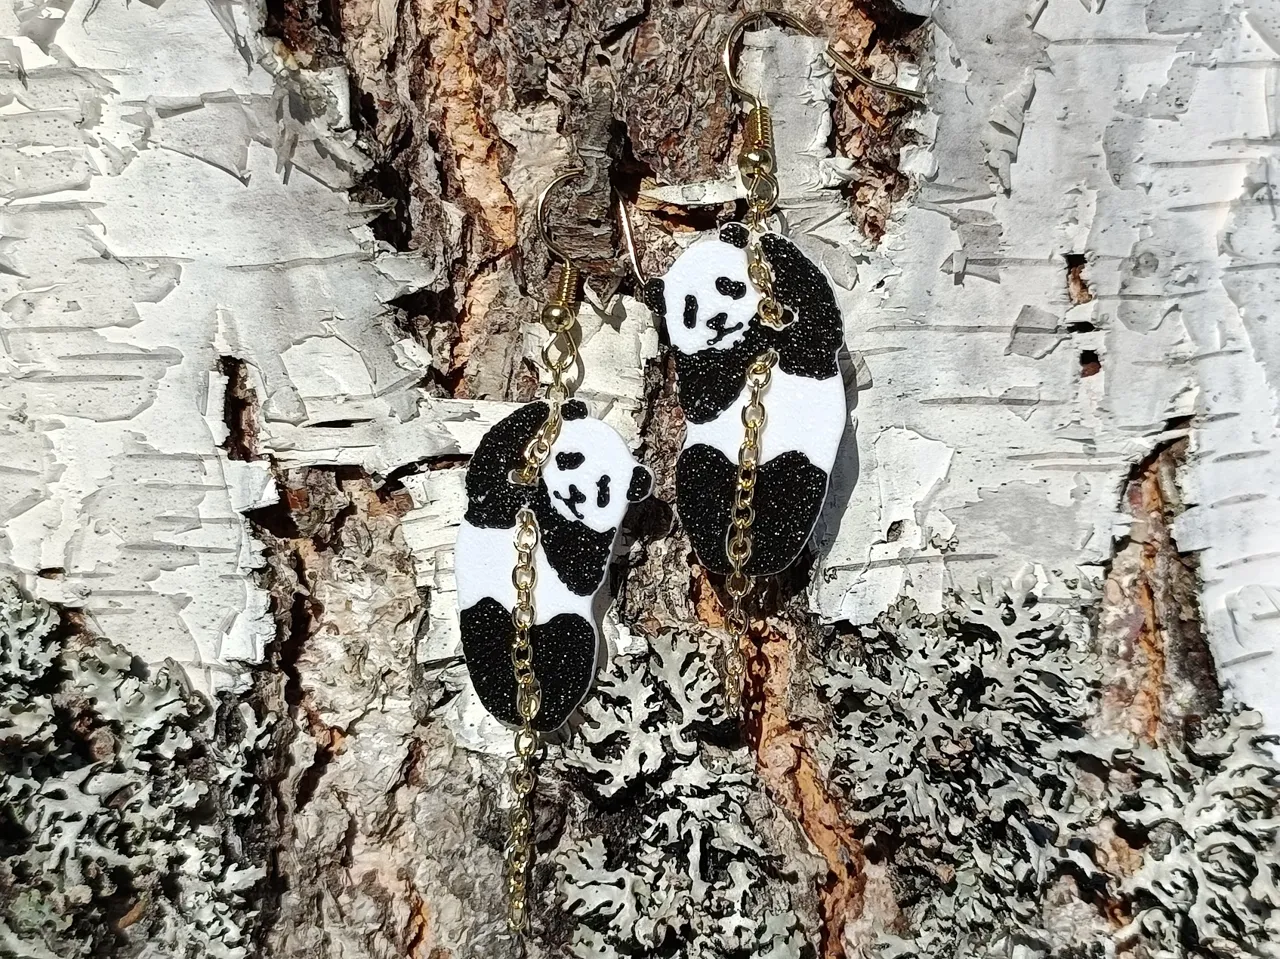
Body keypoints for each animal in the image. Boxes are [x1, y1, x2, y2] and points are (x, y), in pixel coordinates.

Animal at [455, 399, 653, 731]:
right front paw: (548, 408)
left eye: (603, 489)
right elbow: (487, 476)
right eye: (570, 459)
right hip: (485, 610)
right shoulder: (494, 504)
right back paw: (510, 702)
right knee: (488, 644)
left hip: (569, 624)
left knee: (572, 652)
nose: (574, 493)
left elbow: (578, 567)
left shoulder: (596, 537)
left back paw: (547, 712)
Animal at [641, 222, 846, 576]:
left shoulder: (809, 350)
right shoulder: (691, 366)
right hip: (706, 459)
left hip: (798, 466)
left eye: (726, 285)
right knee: (701, 482)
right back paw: (720, 548)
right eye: (690, 309)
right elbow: (704, 396)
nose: (717, 321)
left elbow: (819, 323)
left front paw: (773, 245)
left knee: (792, 491)